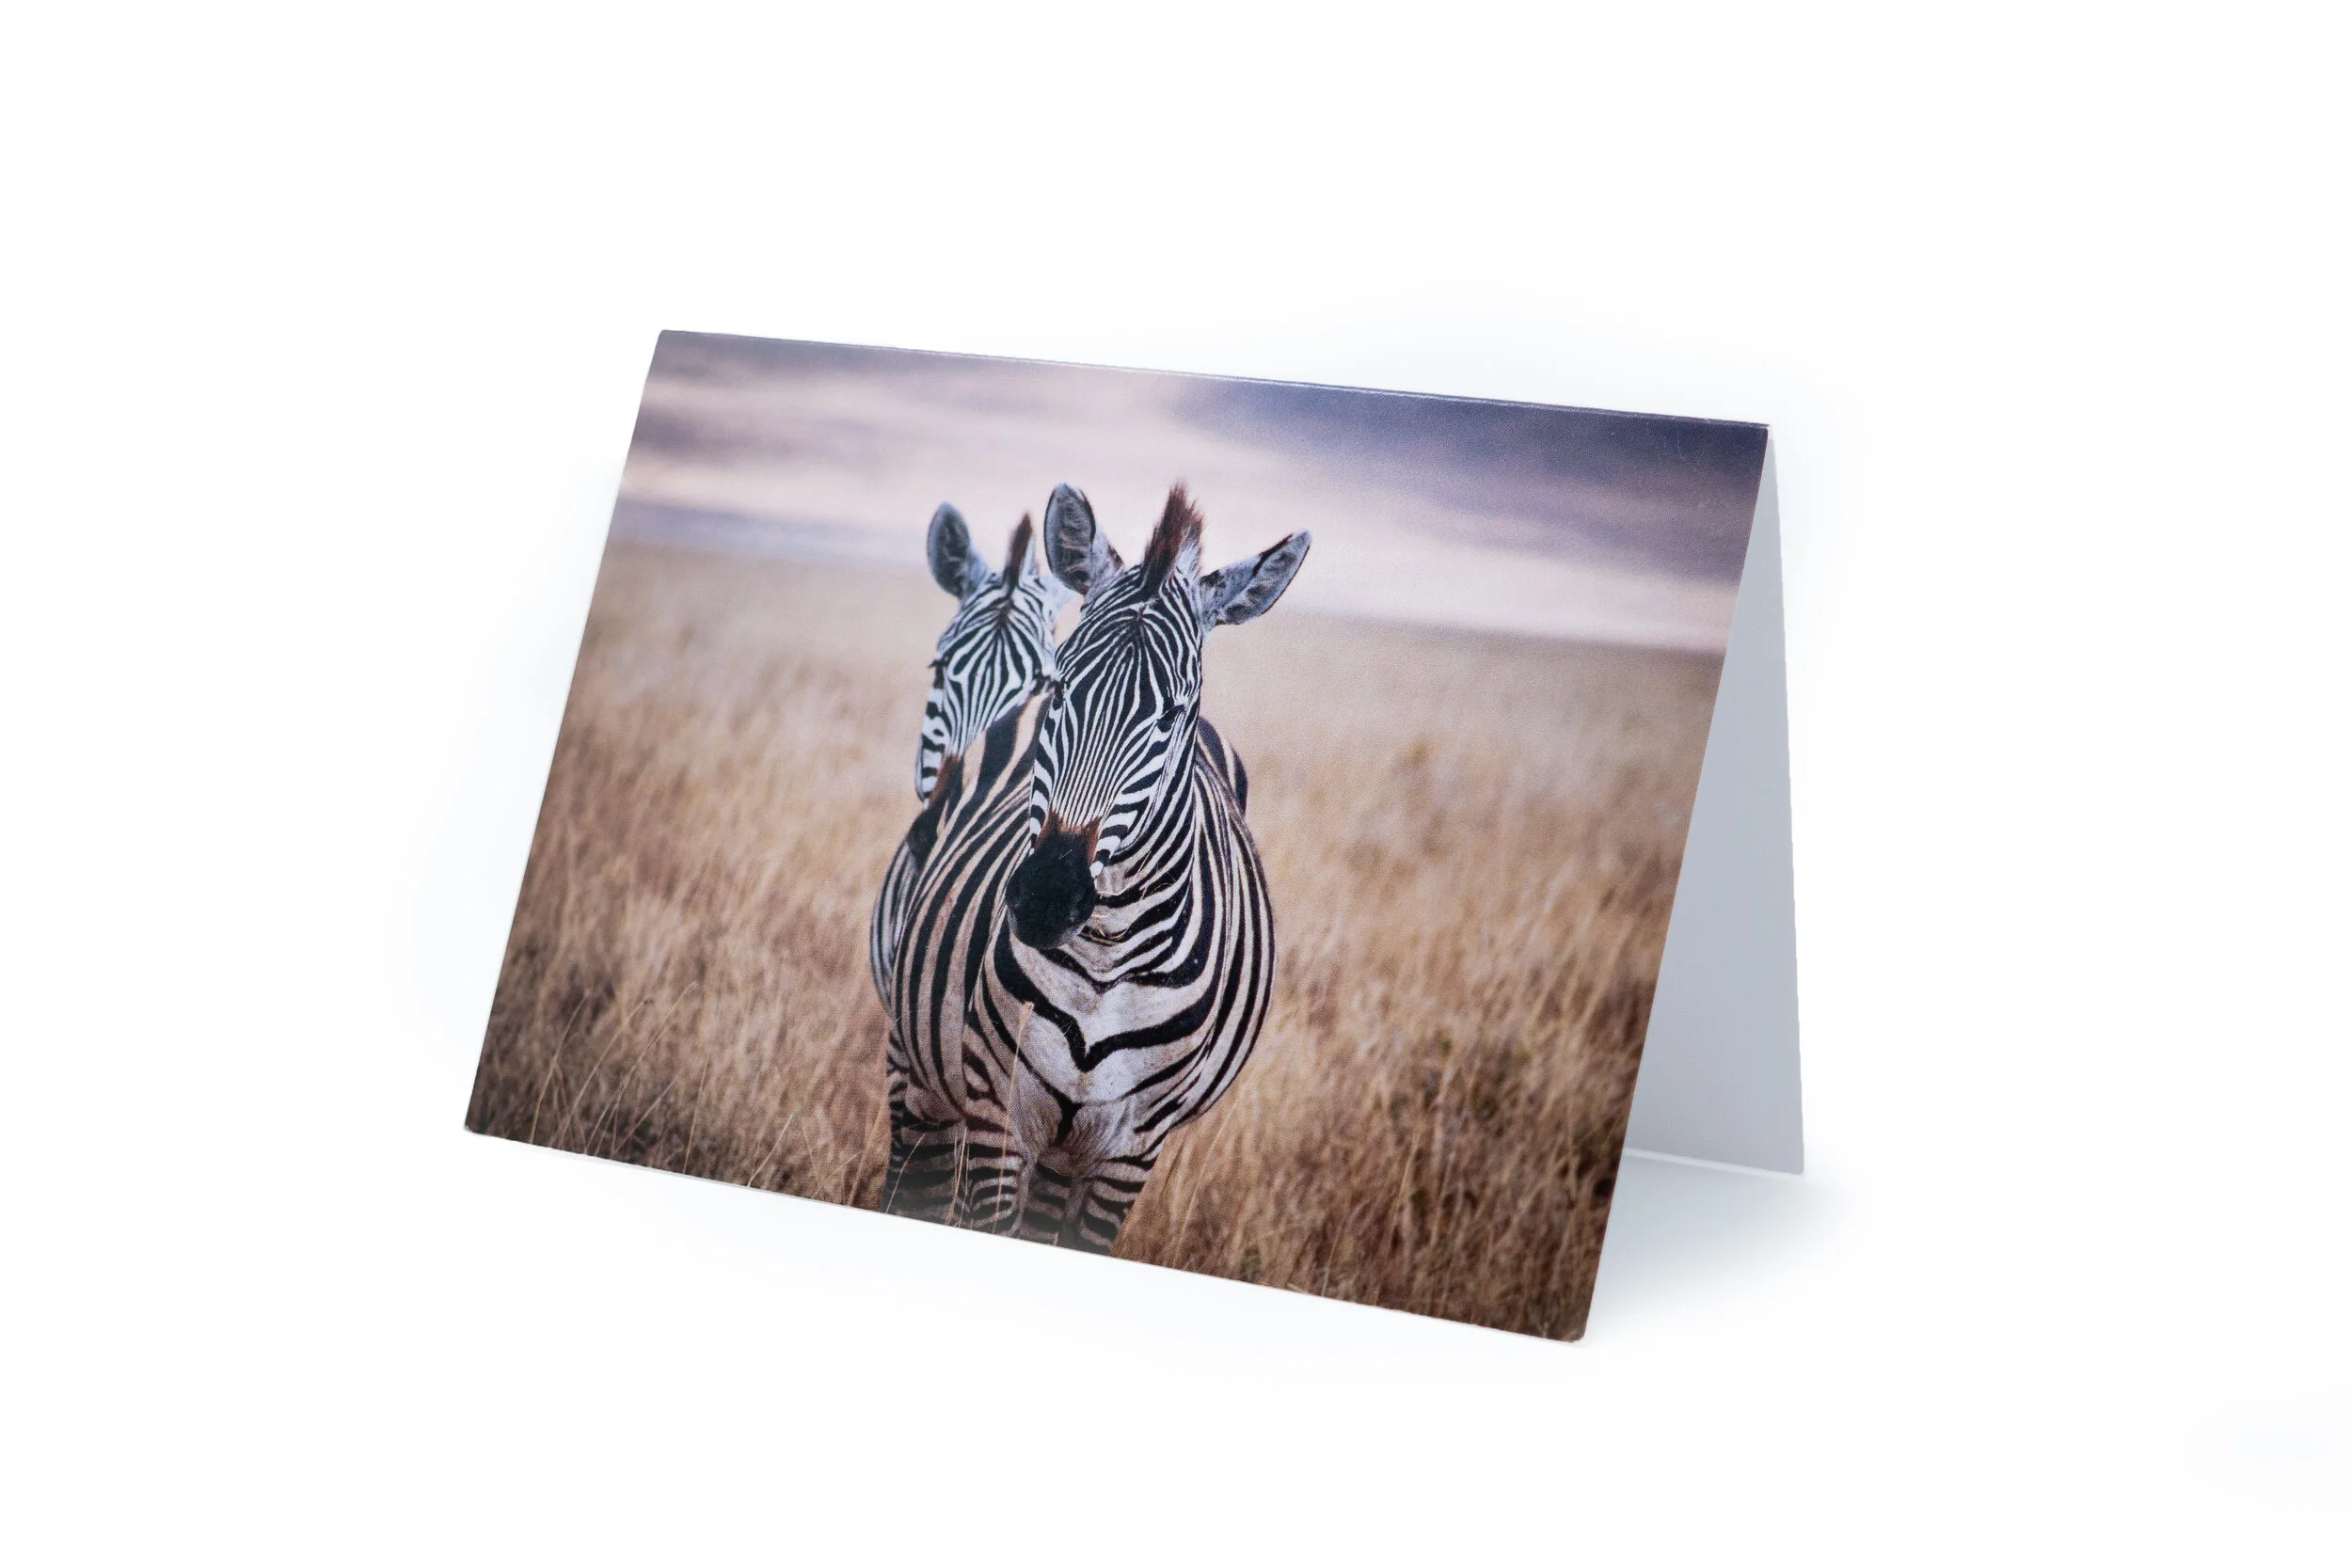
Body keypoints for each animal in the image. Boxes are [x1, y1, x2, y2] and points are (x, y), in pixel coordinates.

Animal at [881, 482, 1310, 1253]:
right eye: (1061, 687)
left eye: (1170, 715)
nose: (1048, 897)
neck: (1106, 961)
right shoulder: (997, 1107)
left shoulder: (1130, 1150)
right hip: (920, 1062)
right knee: (911, 1185)